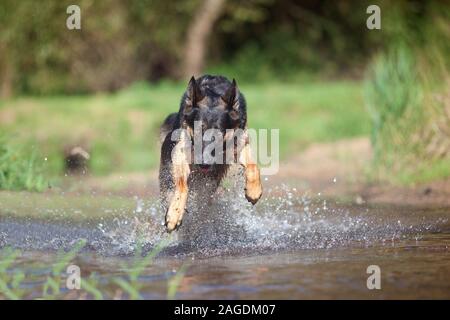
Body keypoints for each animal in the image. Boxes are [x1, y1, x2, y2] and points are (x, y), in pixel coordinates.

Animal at [159, 74, 262, 231]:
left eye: (219, 133)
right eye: (198, 130)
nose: (203, 164)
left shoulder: (240, 143)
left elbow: (253, 166)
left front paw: (254, 190)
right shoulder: (181, 153)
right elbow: (182, 185)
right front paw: (174, 214)